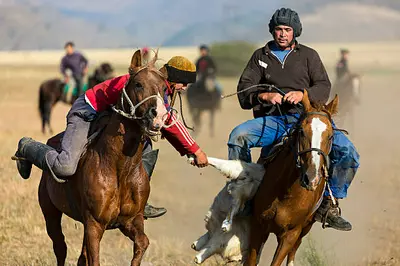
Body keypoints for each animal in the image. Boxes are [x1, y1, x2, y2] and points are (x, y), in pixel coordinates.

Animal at [37, 50, 167, 266]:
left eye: (165, 88)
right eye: (138, 84)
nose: (158, 116)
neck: (119, 167)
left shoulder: (130, 221)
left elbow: (142, 242)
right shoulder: (95, 224)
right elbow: (93, 258)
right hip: (50, 213)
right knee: (60, 247)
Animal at [245, 90, 340, 264]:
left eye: (330, 136)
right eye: (302, 131)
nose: (311, 178)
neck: (286, 192)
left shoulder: (291, 234)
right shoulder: (258, 226)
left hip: (305, 228)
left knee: (293, 253)